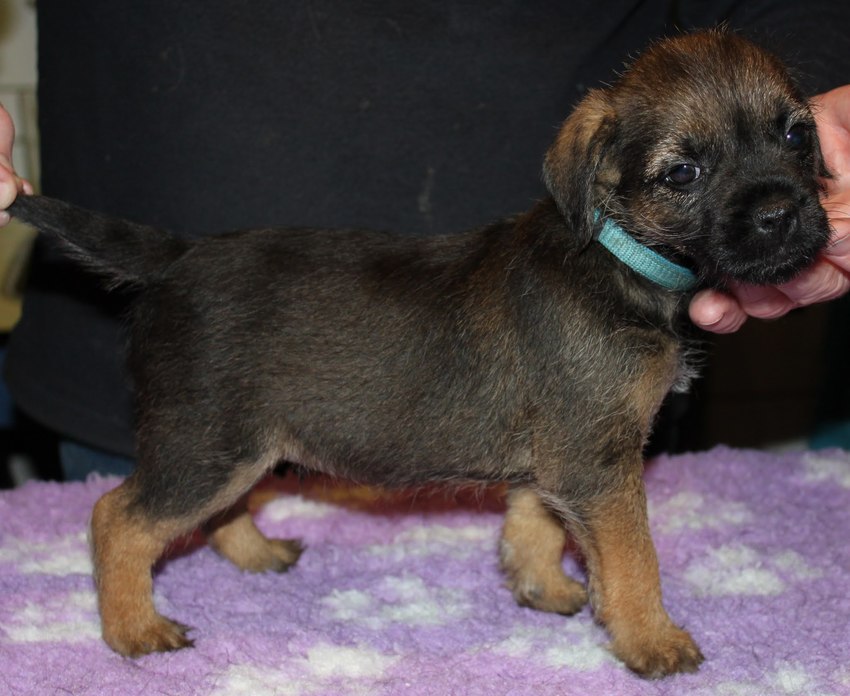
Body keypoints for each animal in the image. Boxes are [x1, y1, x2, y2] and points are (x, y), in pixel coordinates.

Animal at [7, 30, 831, 678]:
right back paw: (134, 630)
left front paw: (541, 586)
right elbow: (633, 557)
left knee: (212, 511)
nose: (780, 213)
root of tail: (176, 259)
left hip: (241, 445)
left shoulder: (561, 455)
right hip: (204, 443)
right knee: (117, 517)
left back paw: (255, 555)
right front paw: (653, 640)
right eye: (682, 172)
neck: (616, 252)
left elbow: (534, 519)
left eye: (796, 135)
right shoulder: (598, 461)